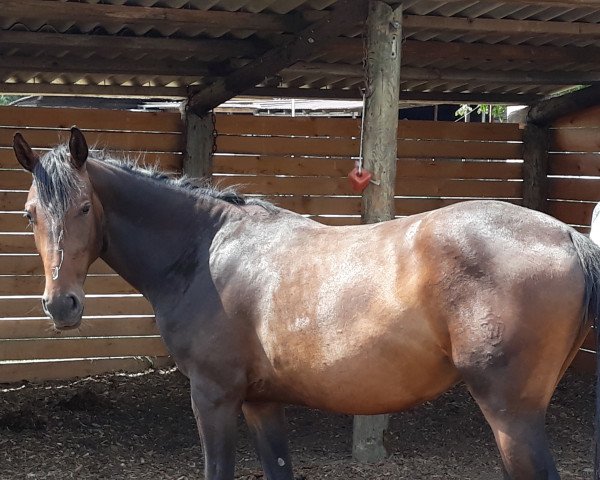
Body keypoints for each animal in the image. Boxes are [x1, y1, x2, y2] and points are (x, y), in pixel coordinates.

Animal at [11, 128, 600, 480]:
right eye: (30, 213)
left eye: (84, 208)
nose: (61, 305)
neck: (206, 248)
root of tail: (568, 236)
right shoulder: (261, 402)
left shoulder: (213, 397)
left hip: (511, 416)